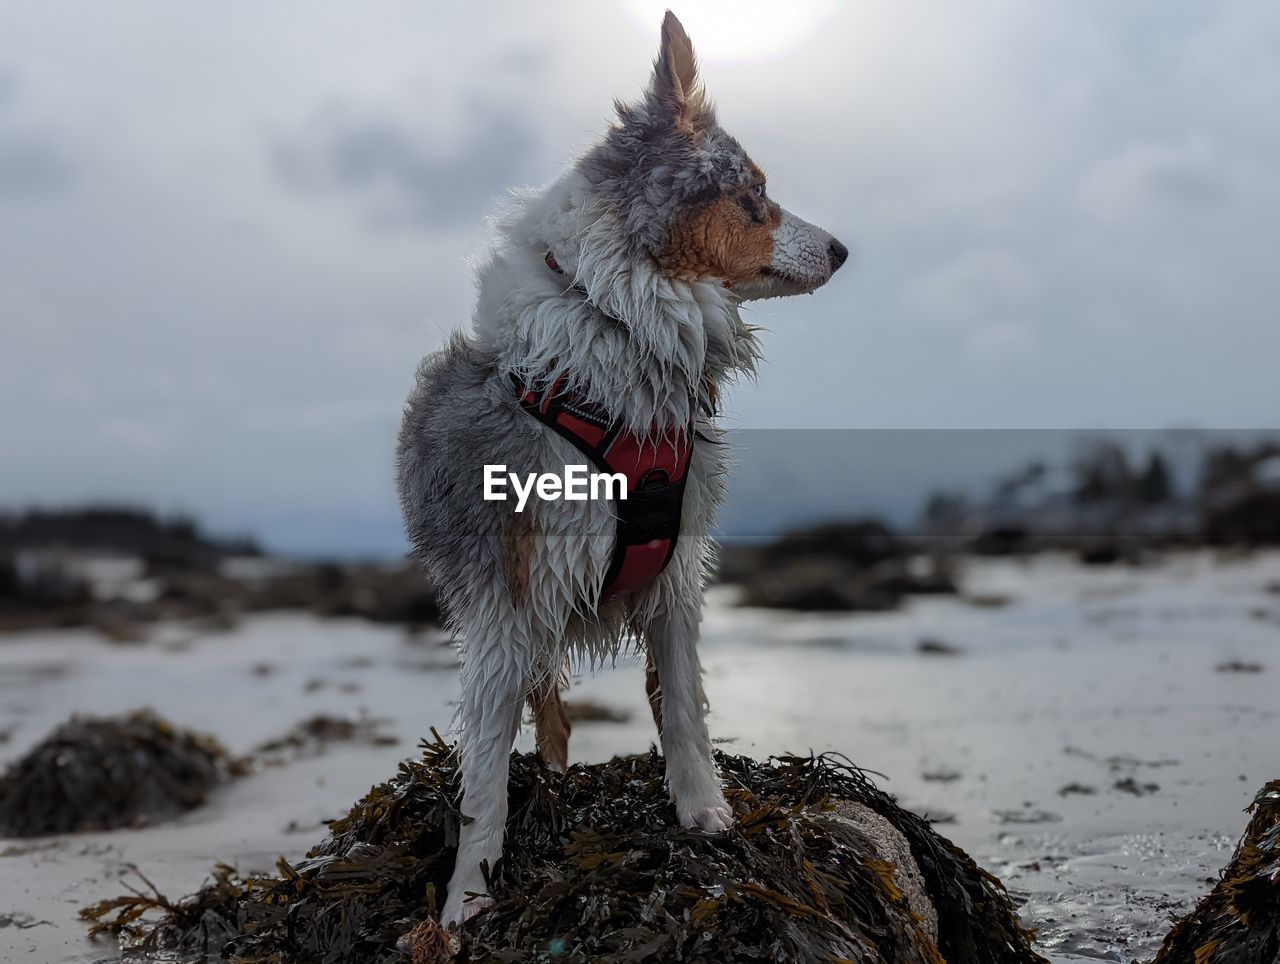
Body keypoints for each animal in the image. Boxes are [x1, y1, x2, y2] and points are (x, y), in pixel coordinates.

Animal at [394, 9, 844, 926]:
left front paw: (705, 815)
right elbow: (483, 775)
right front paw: (467, 898)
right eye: (753, 194)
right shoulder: (504, 601)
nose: (844, 249)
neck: (619, 327)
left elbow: (684, 711)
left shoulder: (675, 573)